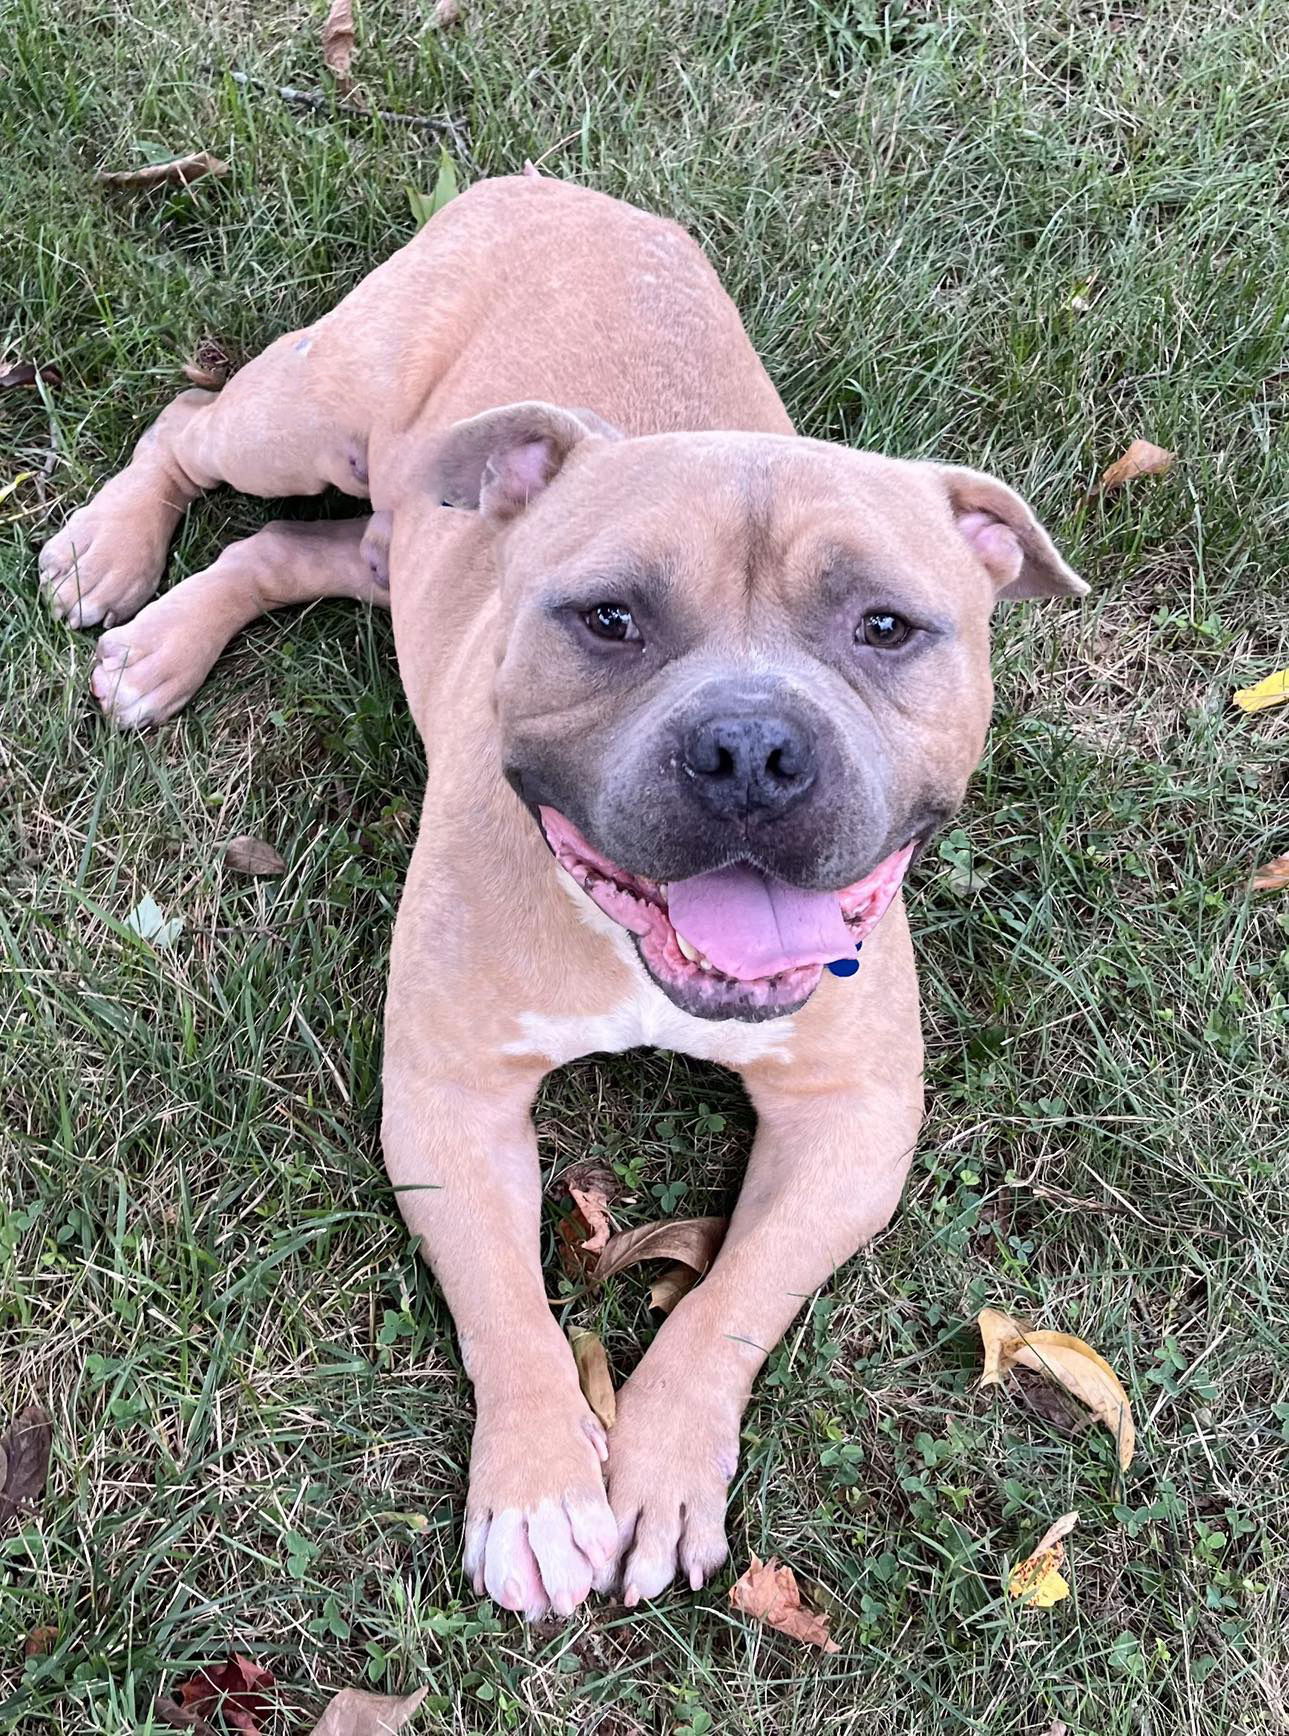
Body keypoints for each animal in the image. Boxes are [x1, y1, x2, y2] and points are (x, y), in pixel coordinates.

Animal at [37, 172, 1089, 1611]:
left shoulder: (852, 1119)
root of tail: (550, 187)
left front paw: (657, 1462)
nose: (750, 749)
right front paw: (541, 1484)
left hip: (394, 526)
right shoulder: (449, 1095)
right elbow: (507, 1303)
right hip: (310, 407)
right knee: (194, 428)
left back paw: (169, 637)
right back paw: (117, 553)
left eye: (884, 626)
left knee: (295, 548)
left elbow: (731, 1299)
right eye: (608, 617)